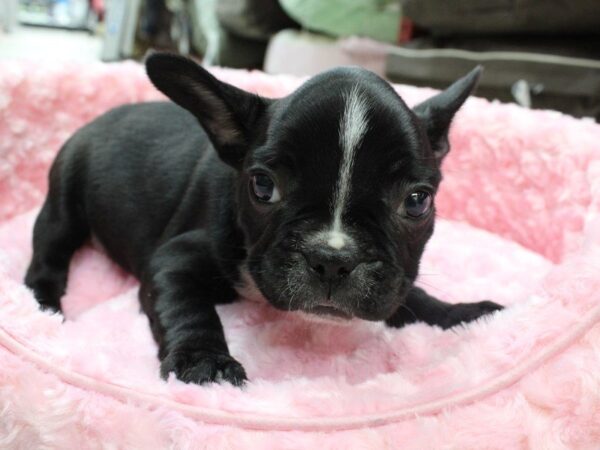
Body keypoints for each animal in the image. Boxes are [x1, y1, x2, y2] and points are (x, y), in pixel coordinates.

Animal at [24, 51, 502, 384]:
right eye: (263, 186)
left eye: (417, 201)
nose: (333, 259)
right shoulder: (173, 260)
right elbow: (187, 308)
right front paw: (205, 362)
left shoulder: (395, 275)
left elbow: (412, 296)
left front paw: (462, 314)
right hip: (64, 201)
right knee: (47, 256)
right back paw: (43, 309)